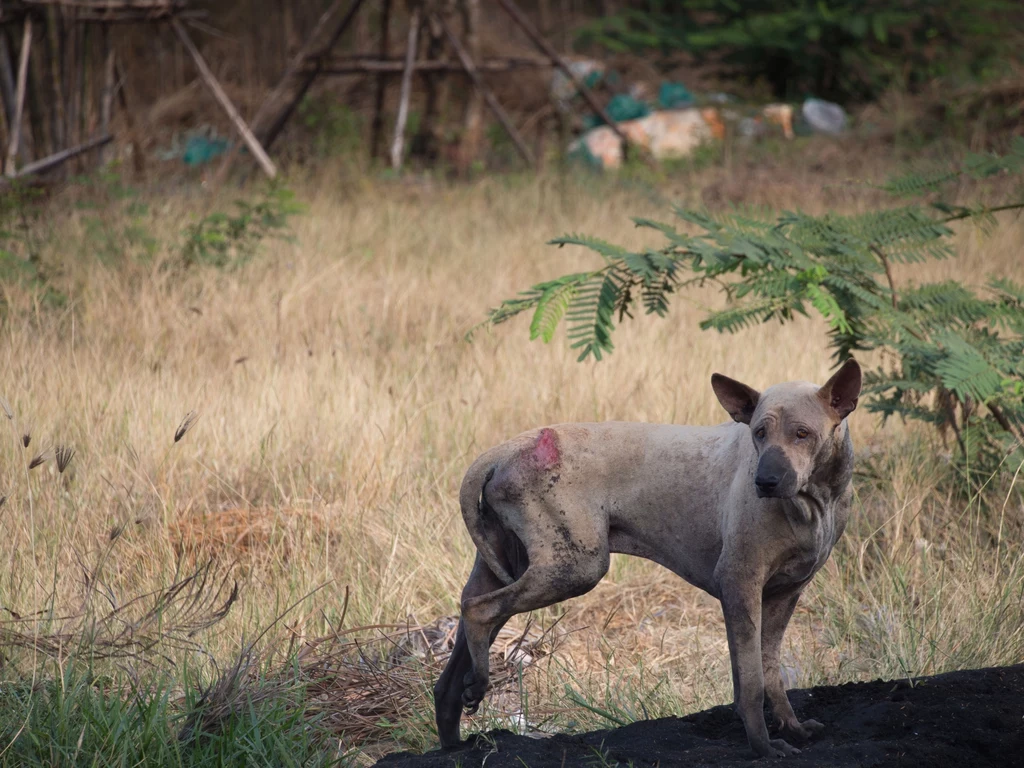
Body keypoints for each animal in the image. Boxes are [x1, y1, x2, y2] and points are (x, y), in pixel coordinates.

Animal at [434, 360, 864, 757]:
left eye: (802, 434)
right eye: (759, 433)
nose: (766, 481)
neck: (814, 501)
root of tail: (508, 447)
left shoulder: (783, 595)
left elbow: (769, 673)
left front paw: (790, 727)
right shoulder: (739, 584)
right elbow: (753, 682)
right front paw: (763, 747)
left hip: (512, 567)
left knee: (453, 661)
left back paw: (455, 736)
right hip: (574, 568)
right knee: (477, 609)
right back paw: (480, 682)